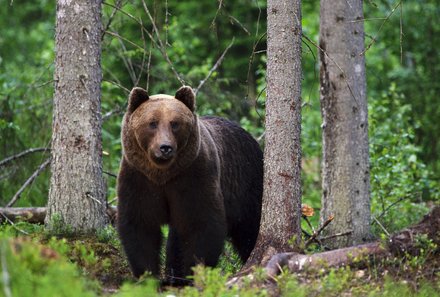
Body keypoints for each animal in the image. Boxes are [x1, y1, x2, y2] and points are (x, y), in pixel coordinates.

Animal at [116, 85, 262, 282]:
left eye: (175, 123)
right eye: (152, 123)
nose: (165, 147)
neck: (163, 174)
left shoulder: (193, 176)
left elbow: (201, 224)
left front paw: (193, 272)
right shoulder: (139, 178)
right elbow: (140, 224)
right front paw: (147, 275)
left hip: (247, 183)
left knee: (250, 228)